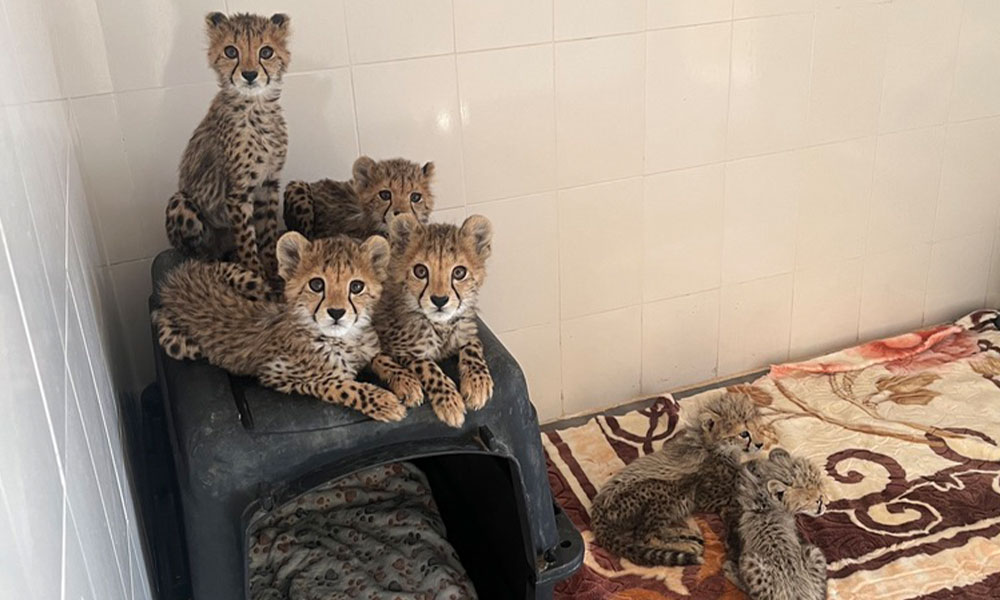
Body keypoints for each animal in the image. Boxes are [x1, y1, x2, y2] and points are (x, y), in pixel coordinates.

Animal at [152, 231, 424, 422]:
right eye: (317, 285)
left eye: (356, 286)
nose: (336, 313)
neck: (342, 337)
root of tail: (182, 275)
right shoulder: (279, 374)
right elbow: (343, 385)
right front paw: (384, 401)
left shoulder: (366, 349)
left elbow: (383, 358)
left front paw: (408, 383)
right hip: (179, 342)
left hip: (251, 281)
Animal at [165, 12, 291, 284]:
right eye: (231, 51)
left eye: (266, 52)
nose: (250, 74)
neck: (256, 105)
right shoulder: (238, 193)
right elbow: (246, 239)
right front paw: (256, 274)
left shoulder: (268, 183)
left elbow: (267, 232)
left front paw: (272, 267)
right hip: (181, 202)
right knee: (198, 255)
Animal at [373, 213, 493, 428]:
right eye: (420, 271)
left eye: (459, 272)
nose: (439, 300)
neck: (440, 325)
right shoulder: (402, 349)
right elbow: (428, 367)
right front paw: (449, 401)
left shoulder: (467, 330)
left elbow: (473, 348)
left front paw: (477, 383)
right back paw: (407, 385)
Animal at [590, 393, 777, 567]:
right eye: (744, 433)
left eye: (758, 428)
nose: (760, 444)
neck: (714, 447)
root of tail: (596, 506)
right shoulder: (705, 497)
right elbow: (738, 490)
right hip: (659, 490)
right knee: (645, 536)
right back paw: (687, 546)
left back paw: (685, 533)